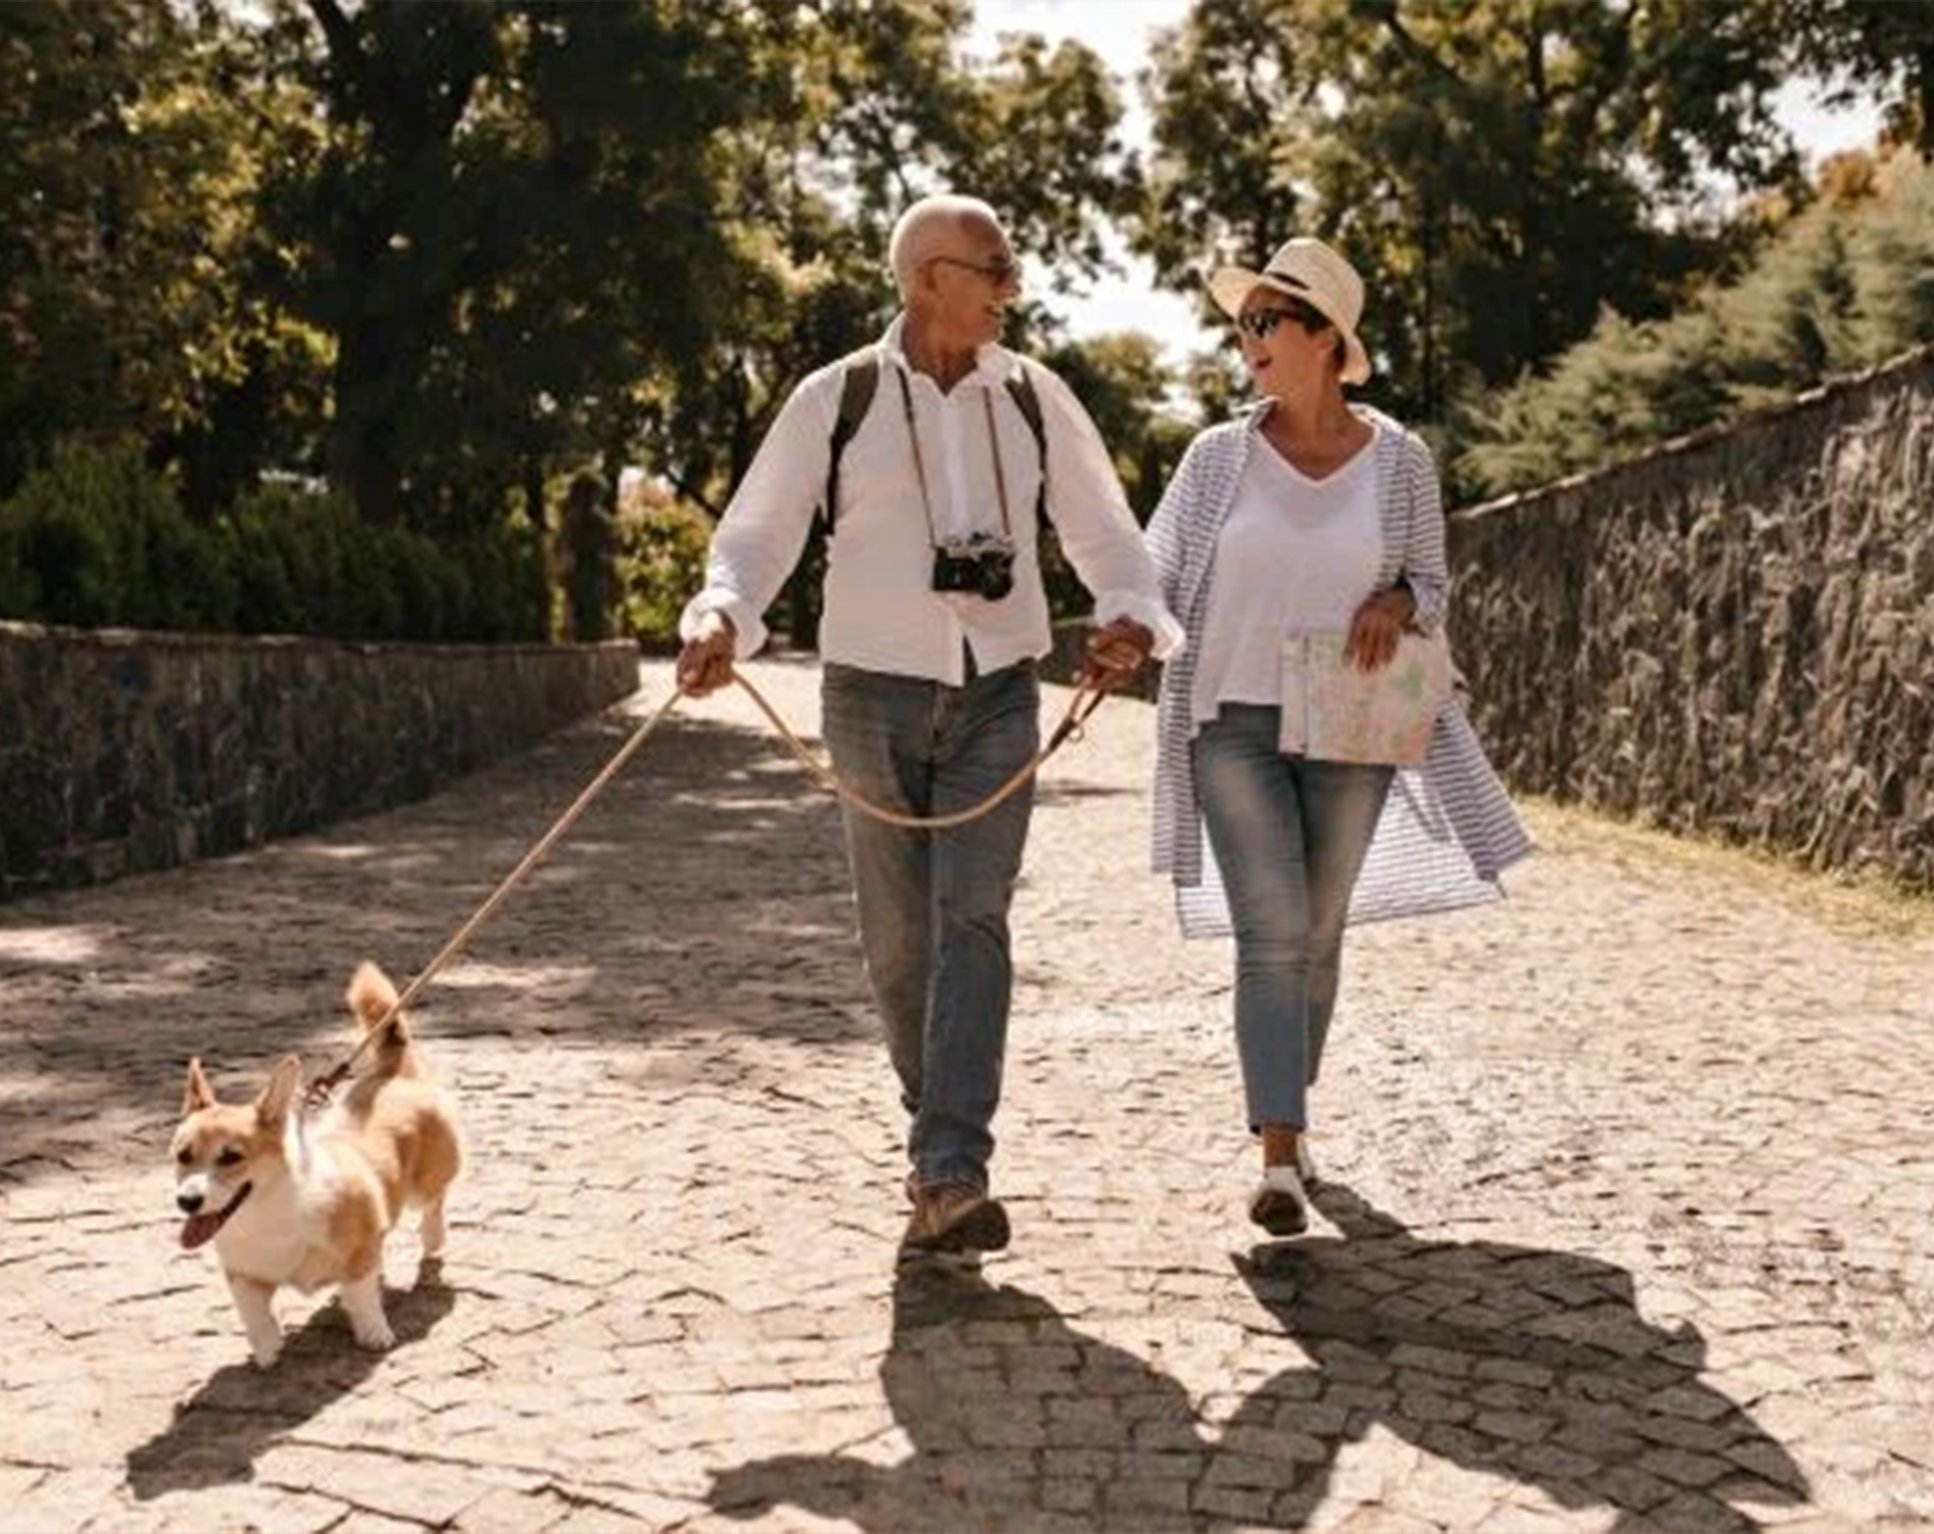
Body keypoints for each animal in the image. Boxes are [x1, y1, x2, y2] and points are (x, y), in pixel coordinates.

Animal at [172, 963, 462, 1369]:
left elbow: (362, 1294)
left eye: (230, 1157)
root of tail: (393, 1072)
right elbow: (252, 1312)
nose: (187, 1202)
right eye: (183, 1155)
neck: (269, 1214)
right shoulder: (243, 1274)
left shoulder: (358, 1256)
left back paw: (433, 1237)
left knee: (434, 1202)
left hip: (425, 1184)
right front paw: (268, 1350)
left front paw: (374, 1334)